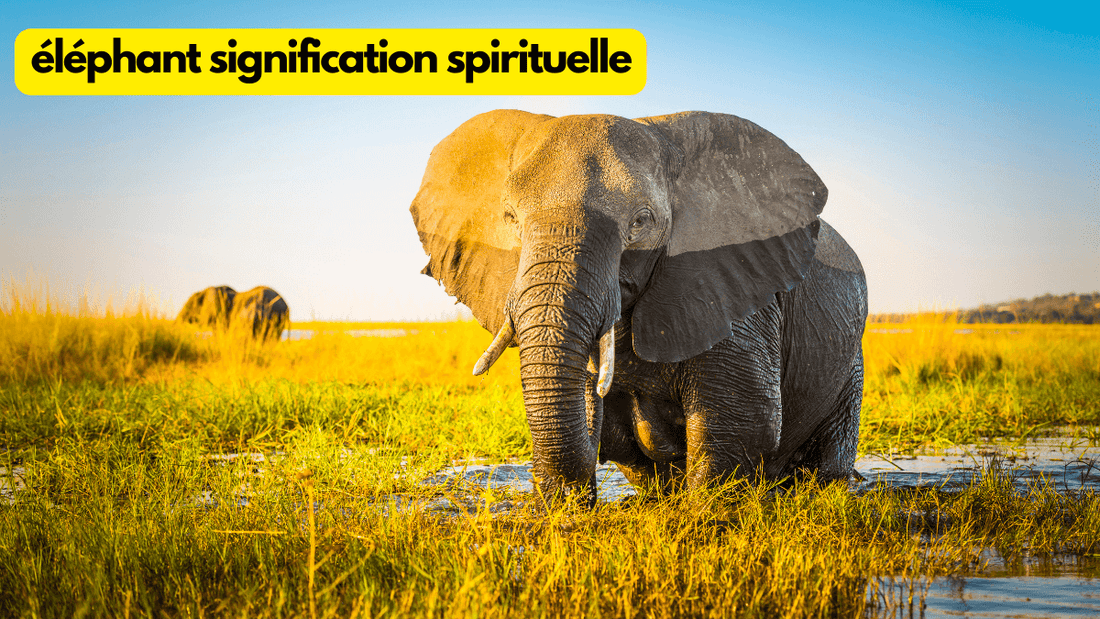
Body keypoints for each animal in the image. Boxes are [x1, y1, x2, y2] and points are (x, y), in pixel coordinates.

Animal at [410, 110, 867, 506]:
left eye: (640, 222)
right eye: (509, 218)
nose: (564, 502)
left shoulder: (734, 281)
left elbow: (743, 418)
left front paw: (703, 516)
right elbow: (604, 420)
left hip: (851, 363)